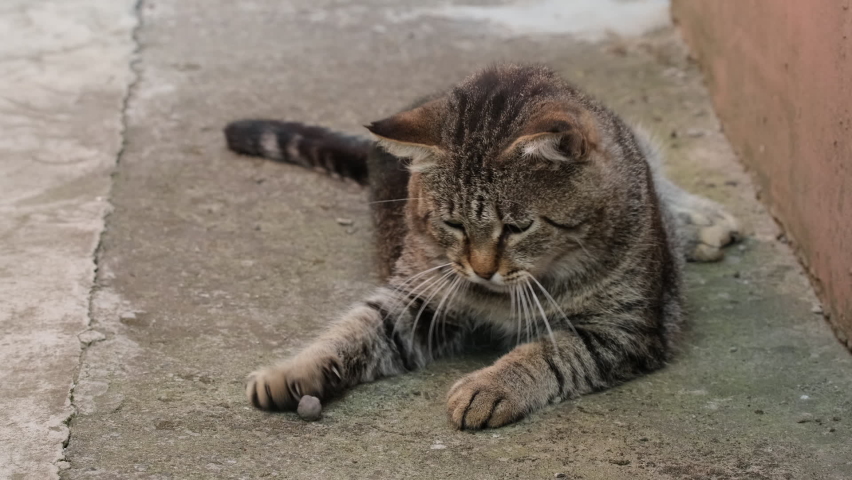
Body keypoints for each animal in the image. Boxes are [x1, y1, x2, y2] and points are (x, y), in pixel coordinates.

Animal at [225, 64, 740, 432]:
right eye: (453, 224)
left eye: (518, 227)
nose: (481, 269)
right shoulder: (419, 299)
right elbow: (355, 327)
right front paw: (293, 369)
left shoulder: (624, 328)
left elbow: (552, 350)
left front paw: (490, 387)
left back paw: (698, 221)